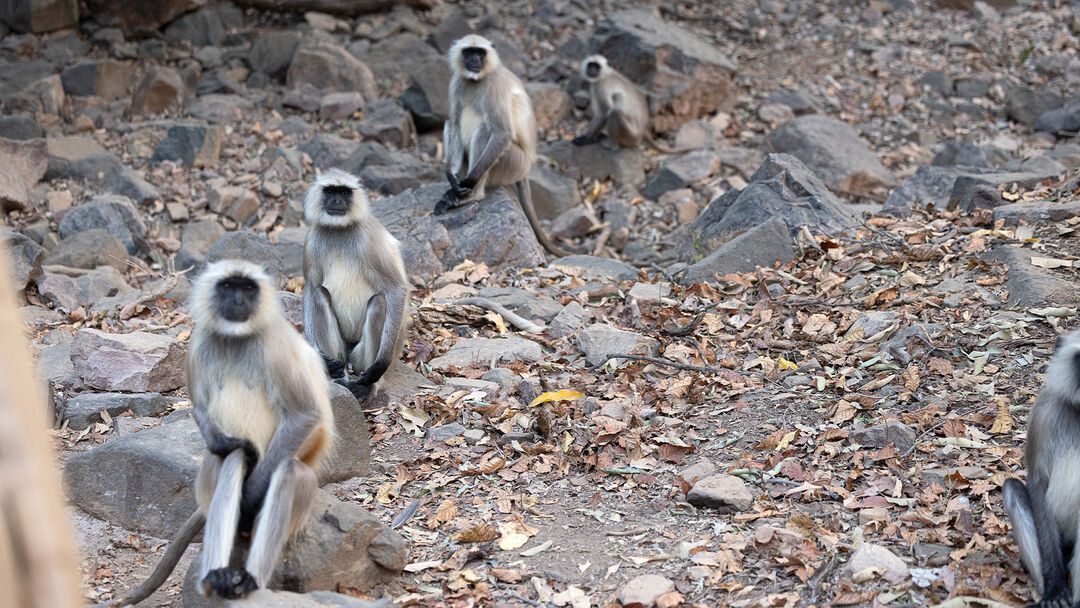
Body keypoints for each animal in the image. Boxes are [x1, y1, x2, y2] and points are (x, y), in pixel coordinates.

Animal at [111, 260, 334, 606]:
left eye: (248, 288)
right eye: (228, 287)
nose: (239, 301)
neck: (237, 339)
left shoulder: (276, 347)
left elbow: (304, 415)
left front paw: (251, 496)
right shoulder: (197, 344)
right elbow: (201, 411)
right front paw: (228, 444)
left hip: (304, 495)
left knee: (286, 469)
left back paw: (249, 579)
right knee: (232, 456)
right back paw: (216, 577)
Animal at [302, 169, 409, 404]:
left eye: (344, 192)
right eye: (331, 191)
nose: (337, 201)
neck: (340, 229)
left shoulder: (369, 237)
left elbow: (396, 289)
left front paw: (379, 367)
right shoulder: (312, 239)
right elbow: (310, 288)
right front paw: (319, 357)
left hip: (364, 355)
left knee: (379, 303)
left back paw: (367, 386)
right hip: (343, 350)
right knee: (319, 295)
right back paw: (337, 377)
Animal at [436, 34, 573, 258]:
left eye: (480, 52)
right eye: (469, 52)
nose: (474, 60)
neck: (477, 80)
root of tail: (526, 169)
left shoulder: (494, 85)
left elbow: (501, 133)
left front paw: (468, 183)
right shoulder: (457, 82)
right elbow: (454, 123)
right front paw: (451, 178)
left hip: (512, 162)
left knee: (485, 130)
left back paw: (471, 195)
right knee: (451, 122)